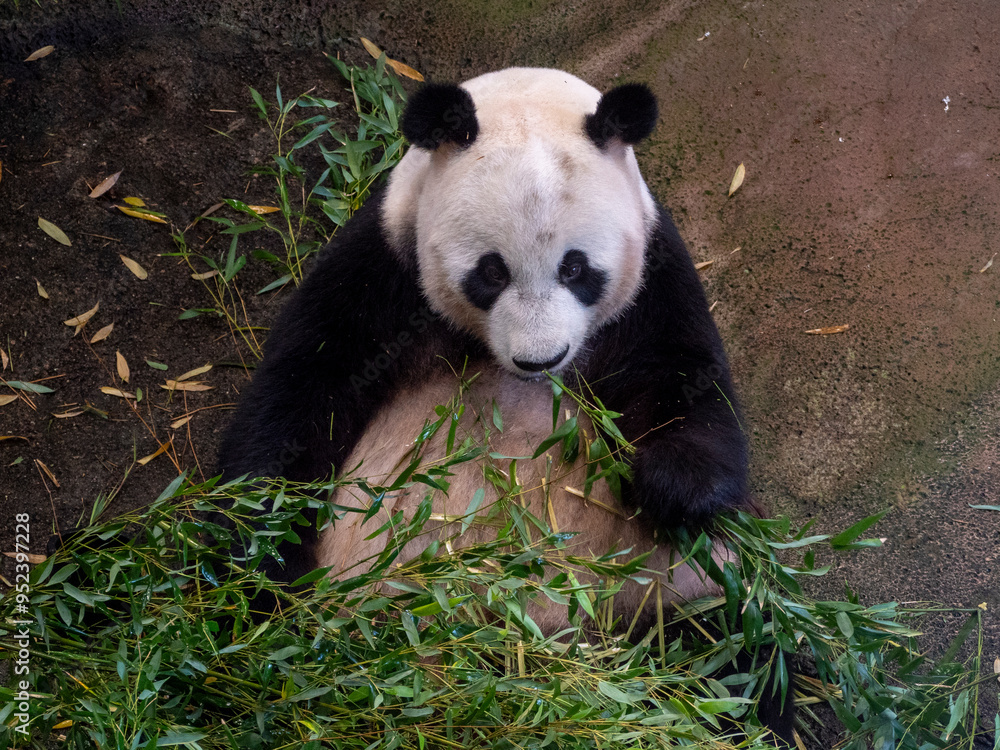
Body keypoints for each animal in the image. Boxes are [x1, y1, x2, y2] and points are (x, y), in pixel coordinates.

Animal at [218, 67, 791, 742]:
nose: (541, 360)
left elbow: (686, 386)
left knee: (739, 639)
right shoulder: (383, 262)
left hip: (662, 580)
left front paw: (669, 485)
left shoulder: (653, 275)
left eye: (576, 269)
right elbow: (304, 389)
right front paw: (252, 565)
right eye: (491, 272)